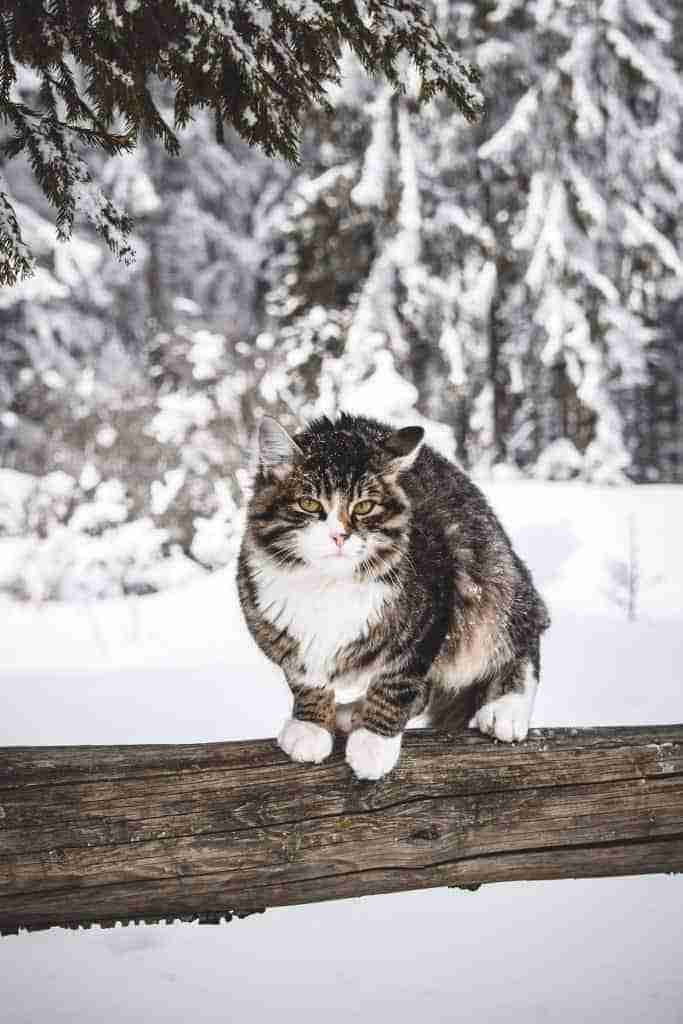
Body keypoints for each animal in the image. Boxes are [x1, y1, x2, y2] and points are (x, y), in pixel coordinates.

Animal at [237, 411, 552, 778]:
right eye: (309, 503)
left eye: (364, 507)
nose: (339, 536)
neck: (328, 583)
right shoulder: (279, 631)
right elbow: (304, 679)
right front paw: (310, 725)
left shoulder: (432, 614)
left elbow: (396, 685)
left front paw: (374, 745)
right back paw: (351, 711)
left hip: (492, 584)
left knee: (522, 637)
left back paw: (507, 707)